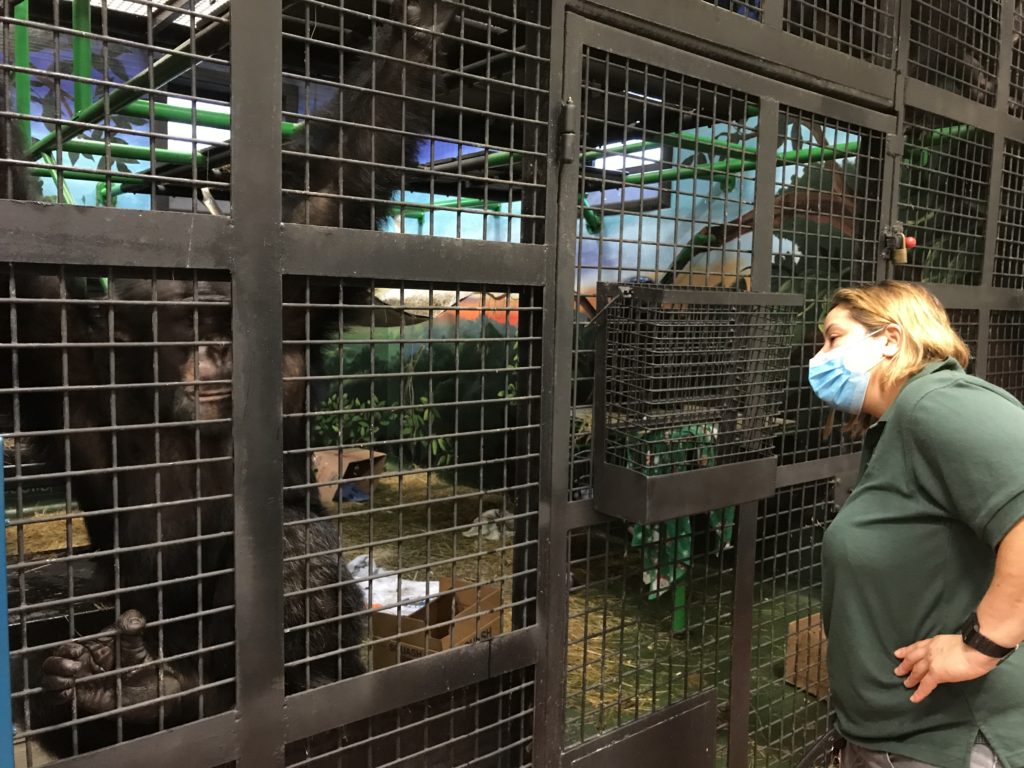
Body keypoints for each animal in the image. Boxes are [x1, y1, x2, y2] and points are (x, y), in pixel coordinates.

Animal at [0, 0, 456, 761]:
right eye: (188, 319)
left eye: (224, 314)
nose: (216, 347)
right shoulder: (65, 359)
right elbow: (25, 279)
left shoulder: (293, 296)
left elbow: (342, 177)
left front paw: (418, 27)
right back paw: (113, 695)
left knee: (291, 546)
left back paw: (165, 692)